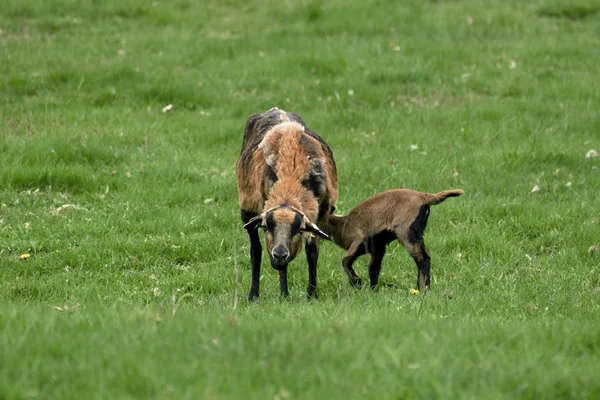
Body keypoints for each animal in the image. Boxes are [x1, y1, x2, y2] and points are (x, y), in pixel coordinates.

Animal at [236, 107, 338, 300]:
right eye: (266, 227)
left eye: (298, 229)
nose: (279, 255)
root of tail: (275, 109)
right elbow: (279, 265)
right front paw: (284, 294)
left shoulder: (321, 215)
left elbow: (312, 252)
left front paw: (311, 294)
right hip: (247, 211)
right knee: (256, 250)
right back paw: (253, 295)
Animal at [324, 189, 464, 292]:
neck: (343, 226)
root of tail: (423, 196)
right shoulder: (378, 248)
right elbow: (373, 268)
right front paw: (373, 291)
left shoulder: (358, 241)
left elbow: (345, 261)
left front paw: (358, 284)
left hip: (406, 231)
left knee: (423, 258)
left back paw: (423, 289)